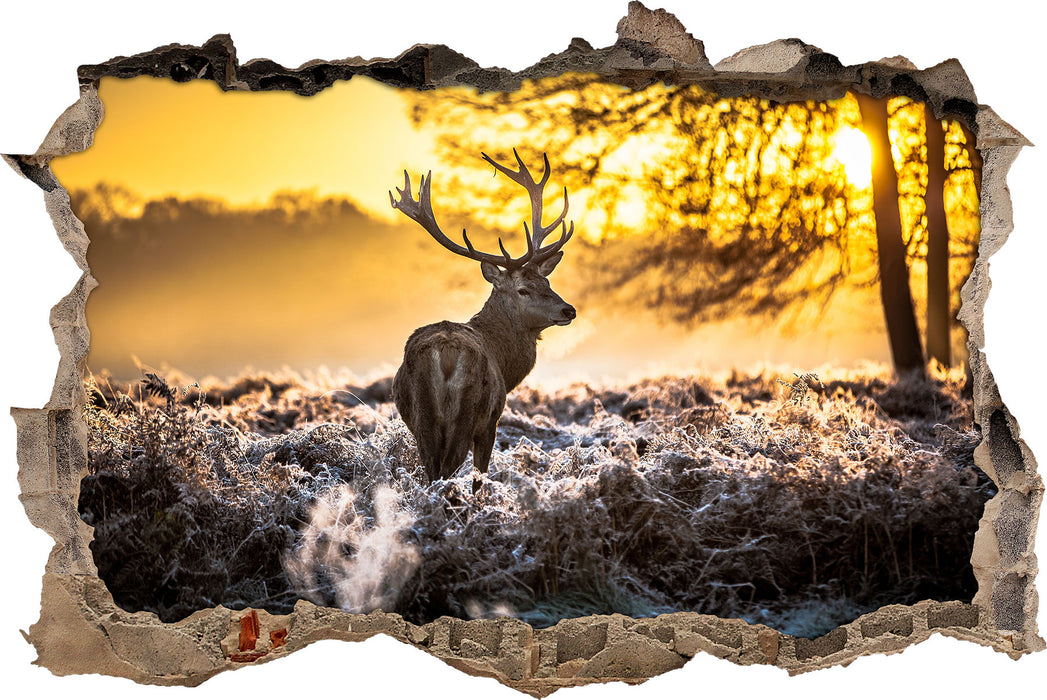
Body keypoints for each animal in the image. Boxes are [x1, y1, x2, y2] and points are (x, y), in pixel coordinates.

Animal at [388, 150, 576, 483]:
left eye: (547, 283)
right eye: (523, 290)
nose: (569, 310)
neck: (504, 361)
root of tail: (445, 353)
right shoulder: (491, 421)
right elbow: (481, 475)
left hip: (422, 418)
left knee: (431, 472)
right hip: (468, 413)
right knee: (448, 470)